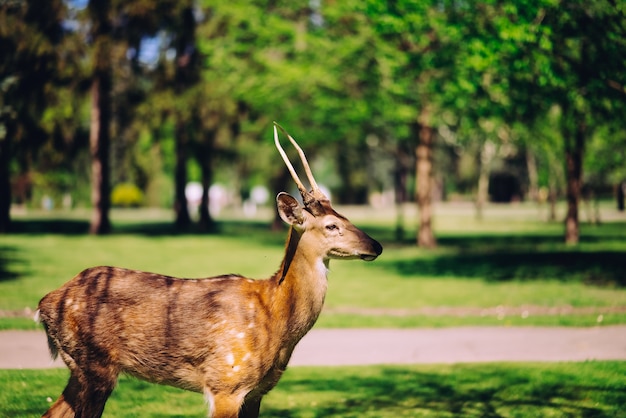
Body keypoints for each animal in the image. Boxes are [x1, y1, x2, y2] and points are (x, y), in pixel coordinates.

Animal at [37, 121, 380, 418]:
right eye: (331, 225)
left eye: (346, 216)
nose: (376, 245)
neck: (275, 316)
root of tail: (44, 304)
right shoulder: (226, 382)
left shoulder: (256, 392)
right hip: (95, 365)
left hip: (81, 369)